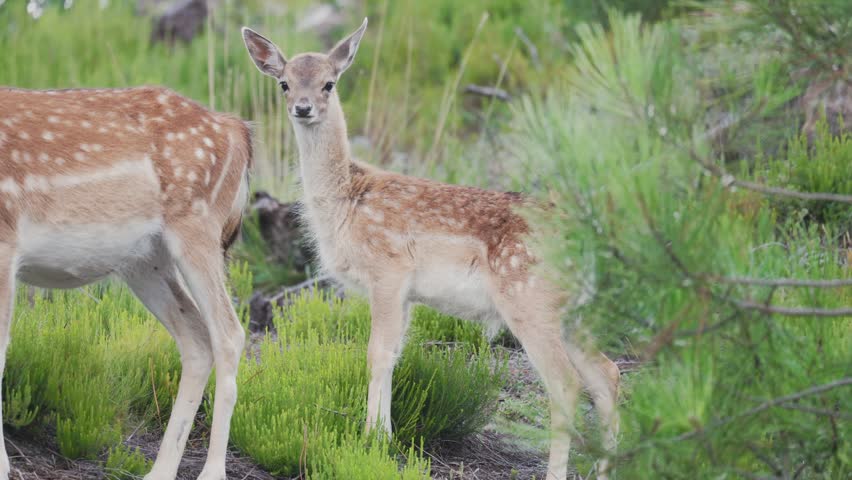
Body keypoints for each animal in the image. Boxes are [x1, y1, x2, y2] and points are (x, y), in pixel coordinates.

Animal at [0, 86, 252, 480]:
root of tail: (235, 128)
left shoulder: (5, 241)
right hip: (145, 260)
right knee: (196, 336)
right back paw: (158, 471)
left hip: (198, 226)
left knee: (229, 333)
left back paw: (211, 472)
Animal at [242, 19, 621, 480]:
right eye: (284, 83)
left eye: (329, 83)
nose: (302, 107)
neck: (347, 201)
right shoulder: (406, 292)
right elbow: (394, 354)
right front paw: (384, 435)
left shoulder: (388, 270)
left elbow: (376, 353)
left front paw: (371, 440)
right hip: (572, 312)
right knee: (608, 374)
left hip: (530, 300)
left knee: (566, 384)